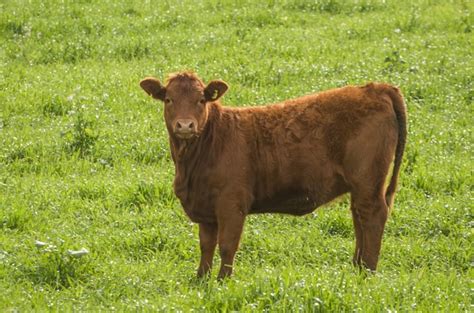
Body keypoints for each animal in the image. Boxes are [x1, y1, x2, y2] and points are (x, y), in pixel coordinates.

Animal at [139, 71, 406, 278]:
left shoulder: (232, 203)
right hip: (360, 187)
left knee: (372, 216)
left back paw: (368, 271)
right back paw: (357, 267)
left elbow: (227, 246)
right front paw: (200, 280)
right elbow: (206, 246)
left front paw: (222, 281)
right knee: (359, 218)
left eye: (201, 99)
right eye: (169, 99)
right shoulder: (205, 208)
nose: (185, 125)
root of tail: (375, 88)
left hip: (368, 182)